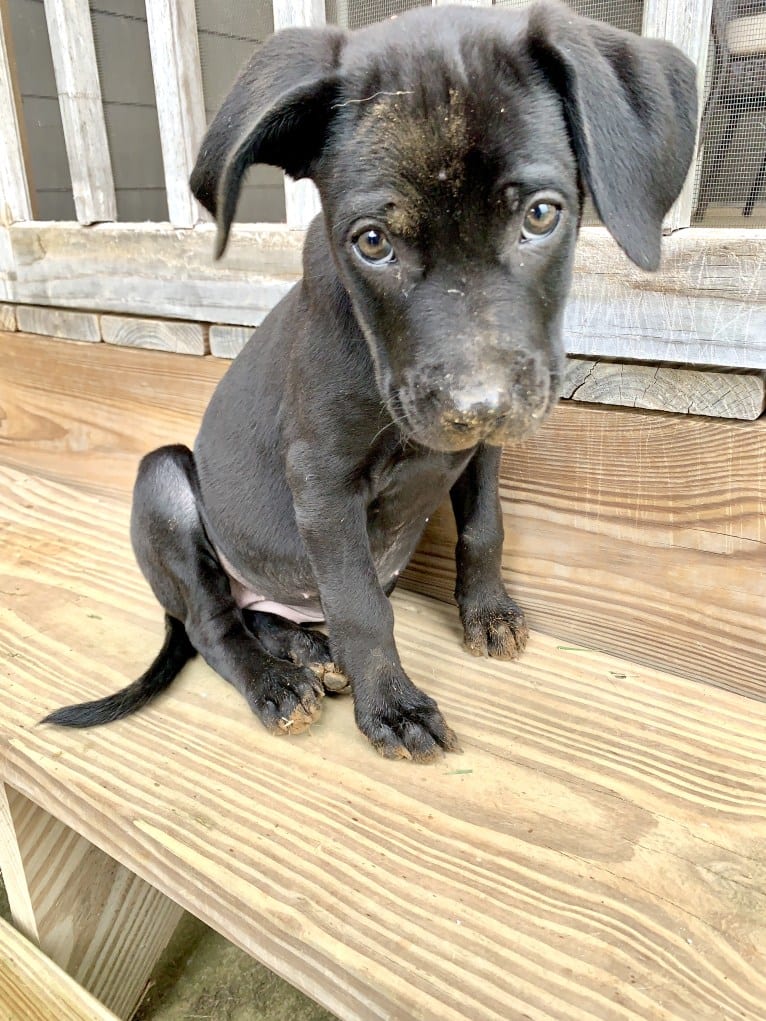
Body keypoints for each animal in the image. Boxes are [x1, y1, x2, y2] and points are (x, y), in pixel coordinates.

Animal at [44, 3, 698, 763]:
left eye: (540, 214)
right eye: (373, 242)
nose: (480, 404)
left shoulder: (482, 450)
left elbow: (485, 527)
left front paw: (487, 612)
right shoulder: (322, 481)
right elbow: (360, 605)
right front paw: (390, 705)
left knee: (254, 612)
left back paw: (308, 649)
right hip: (163, 479)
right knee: (214, 622)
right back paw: (277, 681)